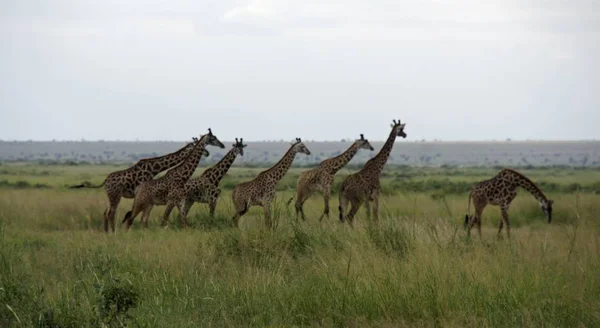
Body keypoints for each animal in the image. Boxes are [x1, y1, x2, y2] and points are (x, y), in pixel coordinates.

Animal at [69, 137, 198, 232]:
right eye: (194, 144)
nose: (204, 152)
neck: (154, 168)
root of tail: (105, 180)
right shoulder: (140, 192)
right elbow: (134, 213)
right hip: (115, 195)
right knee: (111, 213)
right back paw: (113, 232)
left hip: (109, 196)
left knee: (106, 212)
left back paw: (106, 232)